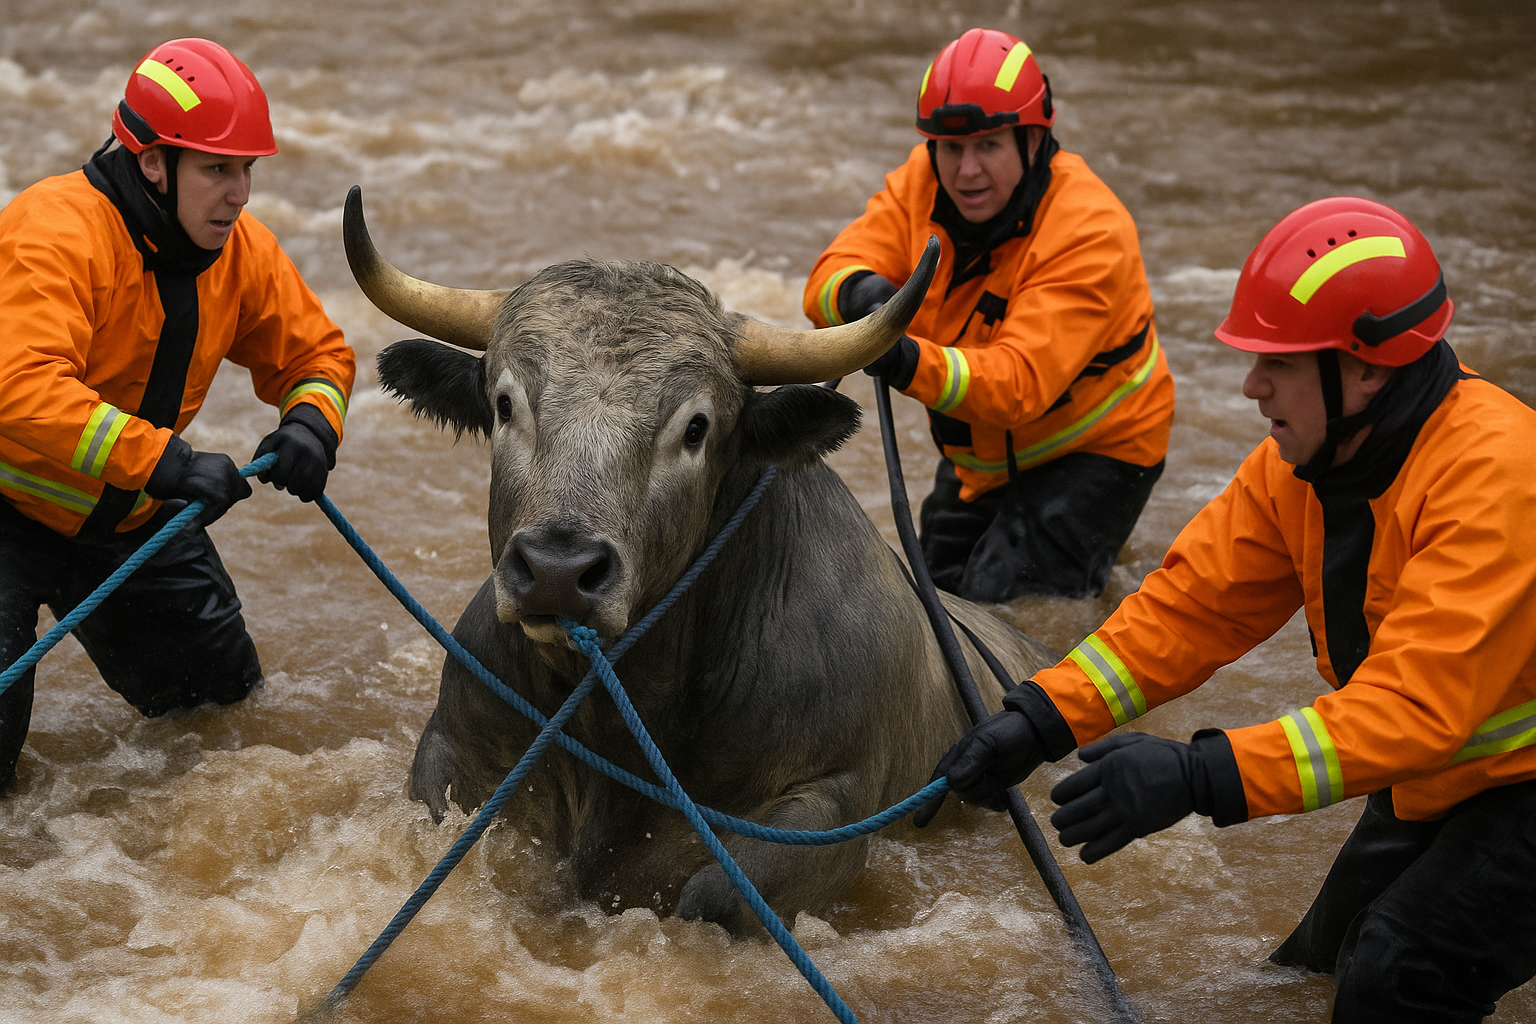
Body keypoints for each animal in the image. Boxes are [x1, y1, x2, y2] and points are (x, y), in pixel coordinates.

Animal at [343, 186, 1059, 935]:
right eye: (505, 403)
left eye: (695, 428)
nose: (557, 571)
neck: (614, 723)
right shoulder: (454, 747)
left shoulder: (829, 805)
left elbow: (712, 895)